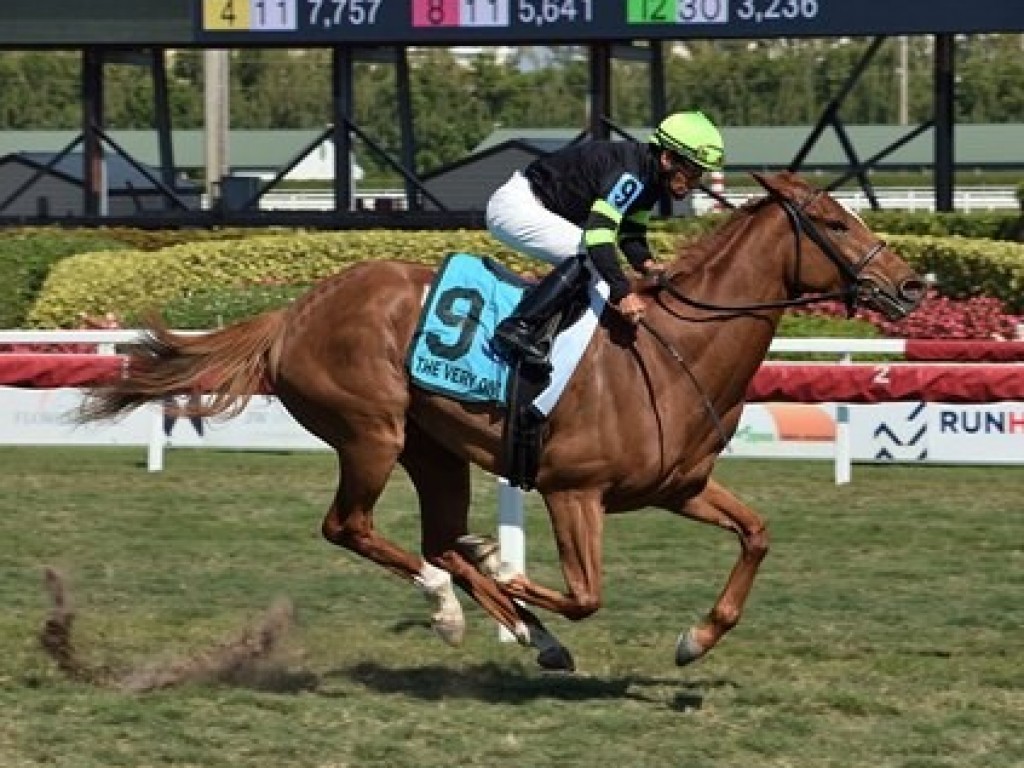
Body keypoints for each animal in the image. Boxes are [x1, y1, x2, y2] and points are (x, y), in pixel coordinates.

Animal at [79, 173, 925, 671]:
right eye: (835, 224)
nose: (913, 285)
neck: (674, 346)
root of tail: (294, 311)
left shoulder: (679, 487)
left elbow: (756, 534)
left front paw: (696, 639)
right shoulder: (572, 491)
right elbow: (583, 594)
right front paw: (512, 581)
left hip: (434, 449)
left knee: (432, 537)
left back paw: (503, 611)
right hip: (372, 432)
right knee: (356, 529)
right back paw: (458, 607)